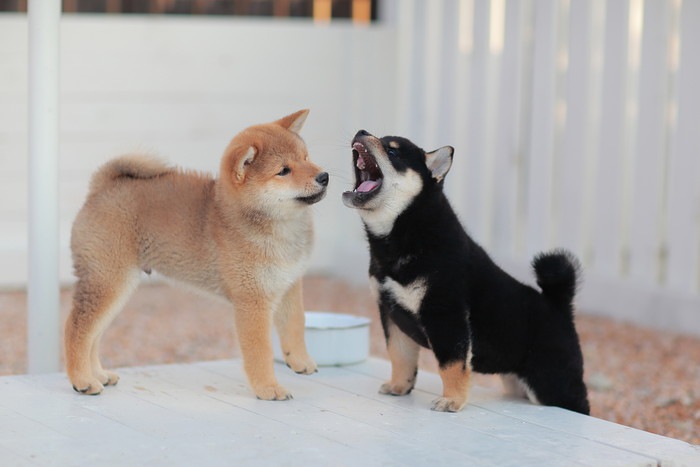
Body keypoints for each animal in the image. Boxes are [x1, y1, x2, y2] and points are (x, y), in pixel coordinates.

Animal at [65, 108, 328, 400]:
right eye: (283, 171)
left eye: (306, 158)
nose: (324, 176)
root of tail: (101, 188)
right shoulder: (253, 300)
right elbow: (260, 351)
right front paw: (268, 387)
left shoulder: (288, 285)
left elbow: (295, 325)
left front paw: (300, 361)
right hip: (108, 280)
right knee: (77, 329)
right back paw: (82, 380)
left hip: (117, 287)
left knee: (93, 334)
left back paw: (98, 374)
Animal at [342, 130, 588, 414]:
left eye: (392, 151)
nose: (361, 132)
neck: (405, 235)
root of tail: (559, 307)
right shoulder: (391, 313)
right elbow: (399, 356)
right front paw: (399, 386)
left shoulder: (445, 314)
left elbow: (451, 365)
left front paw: (453, 400)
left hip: (555, 385)